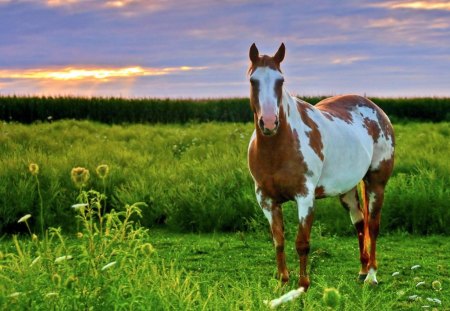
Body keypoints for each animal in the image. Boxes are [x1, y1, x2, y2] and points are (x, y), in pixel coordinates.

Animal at [248, 42, 396, 292]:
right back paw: (362, 271)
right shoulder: (266, 199)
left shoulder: (305, 197)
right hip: (347, 190)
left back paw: (372, 276)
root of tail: (376, 110)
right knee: (360, 223)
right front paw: (282, 283)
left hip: (377, 183)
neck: (277, 149)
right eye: (253, 80)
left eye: (281, 80)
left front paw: (303, 285)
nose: (269, 123)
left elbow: (302, 243)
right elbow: (278, 241)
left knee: (373, 226)